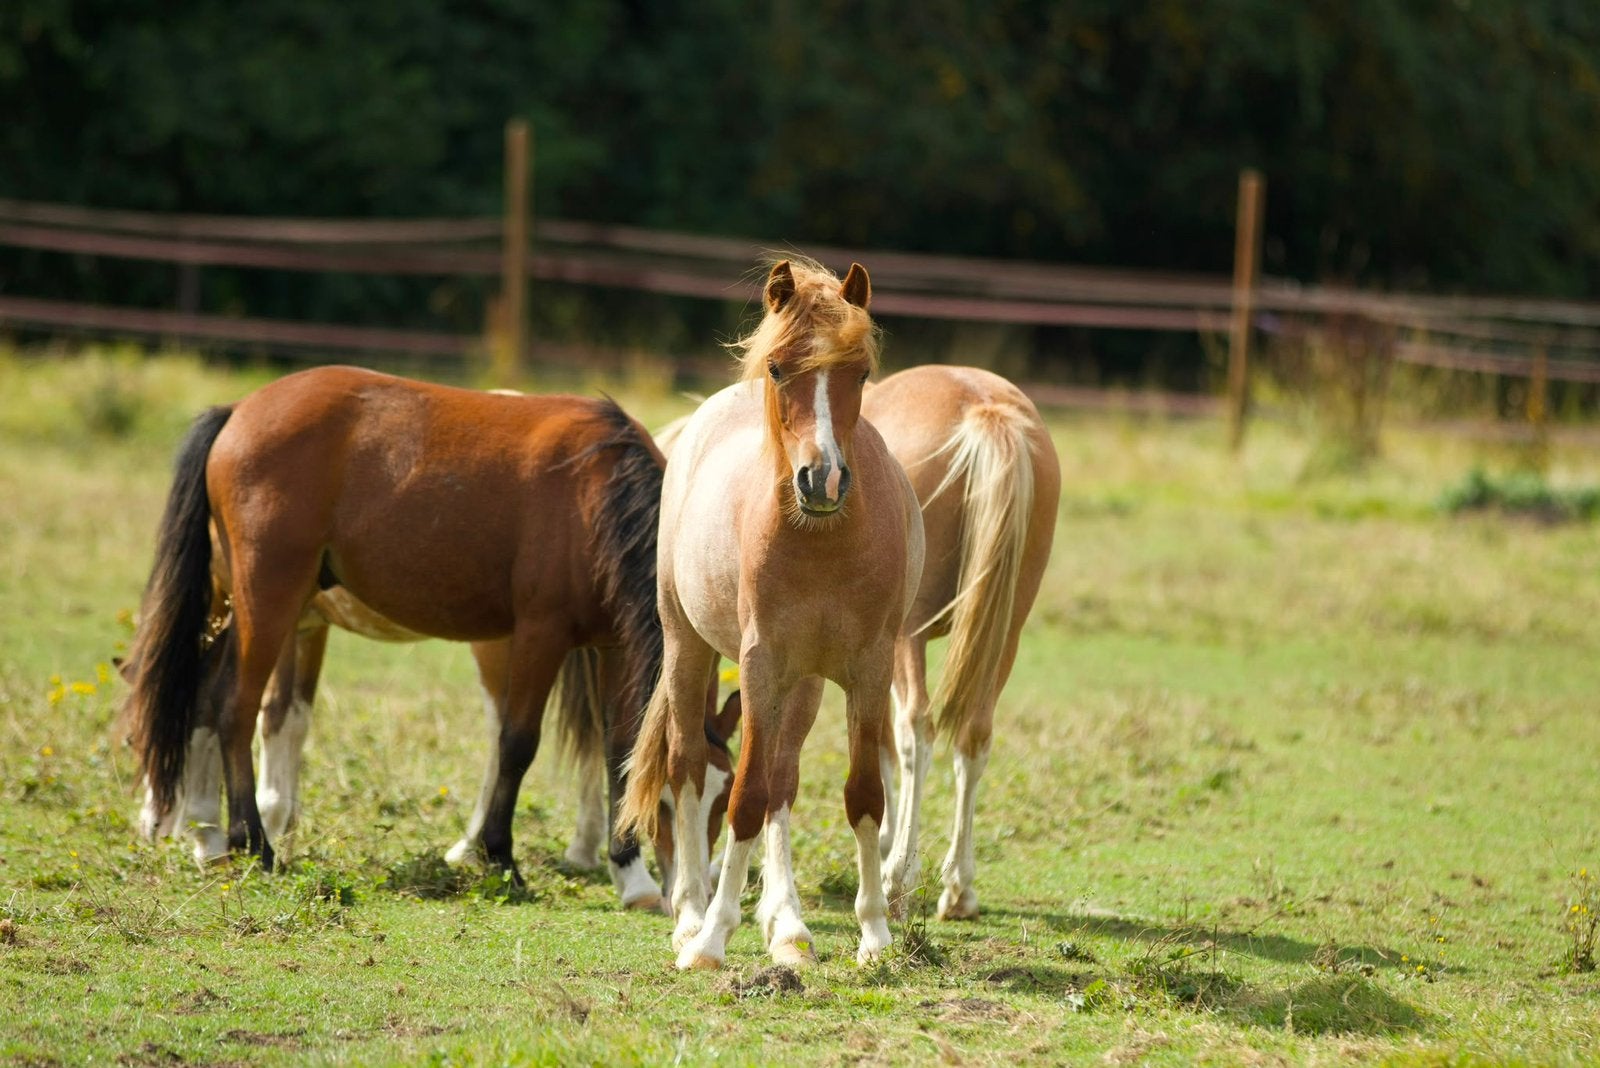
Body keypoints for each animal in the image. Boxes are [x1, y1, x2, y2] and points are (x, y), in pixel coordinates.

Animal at [122, 366, 672, 904]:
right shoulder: (541, 634)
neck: (594, 492)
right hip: (268, 599)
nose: (680, 884)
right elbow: (517, 744)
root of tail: (239, 410)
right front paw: (500, 859)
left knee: (201, 695)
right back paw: (253, 843)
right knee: (235, 705)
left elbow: (621, 748)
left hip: (237, 606)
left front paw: (631, 874)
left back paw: (211, 840)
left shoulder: (614, 645)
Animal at [618, 258, 925, 970]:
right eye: (780, 369)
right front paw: (711, 938)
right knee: (688, 765)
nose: (823, 480)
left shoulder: (868, 669)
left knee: (783, 776)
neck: (824, 539)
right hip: (687, 647)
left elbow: (860, 794)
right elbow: (744, 797)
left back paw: (787, 925)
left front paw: (874, 935)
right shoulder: (759, 667)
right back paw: (690, 914)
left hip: (804, 683)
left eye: (859, 373)